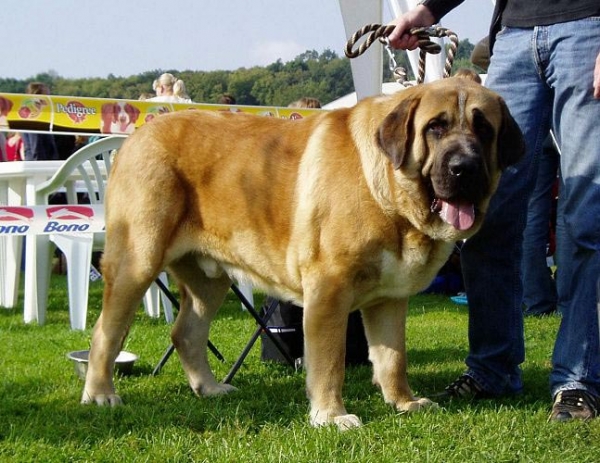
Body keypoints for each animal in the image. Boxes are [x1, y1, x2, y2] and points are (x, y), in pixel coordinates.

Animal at [83, 78, 524, 430]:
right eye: (436, 127)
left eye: (484, 129)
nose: (464, 167)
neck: (389, 192)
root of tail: (136, 137)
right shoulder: (329, 294)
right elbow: (330, 362)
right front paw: (332, 416)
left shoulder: (388, 300)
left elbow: (393, 357)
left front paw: (404, 402)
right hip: (137, 262)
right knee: (105, 331)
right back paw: (101, 393)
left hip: (210, 282)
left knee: (186, 332)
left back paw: (209, 387)